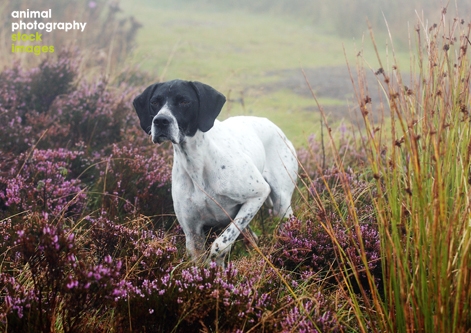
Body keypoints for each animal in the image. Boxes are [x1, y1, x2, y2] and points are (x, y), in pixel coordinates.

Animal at [132, 79, 298, 266]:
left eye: (184, 101)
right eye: (154, 102)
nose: (161, 121)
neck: (196, 163)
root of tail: (274, 126)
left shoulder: (258, 193)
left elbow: (221, 244)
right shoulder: (193, 234)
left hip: (281, 205)